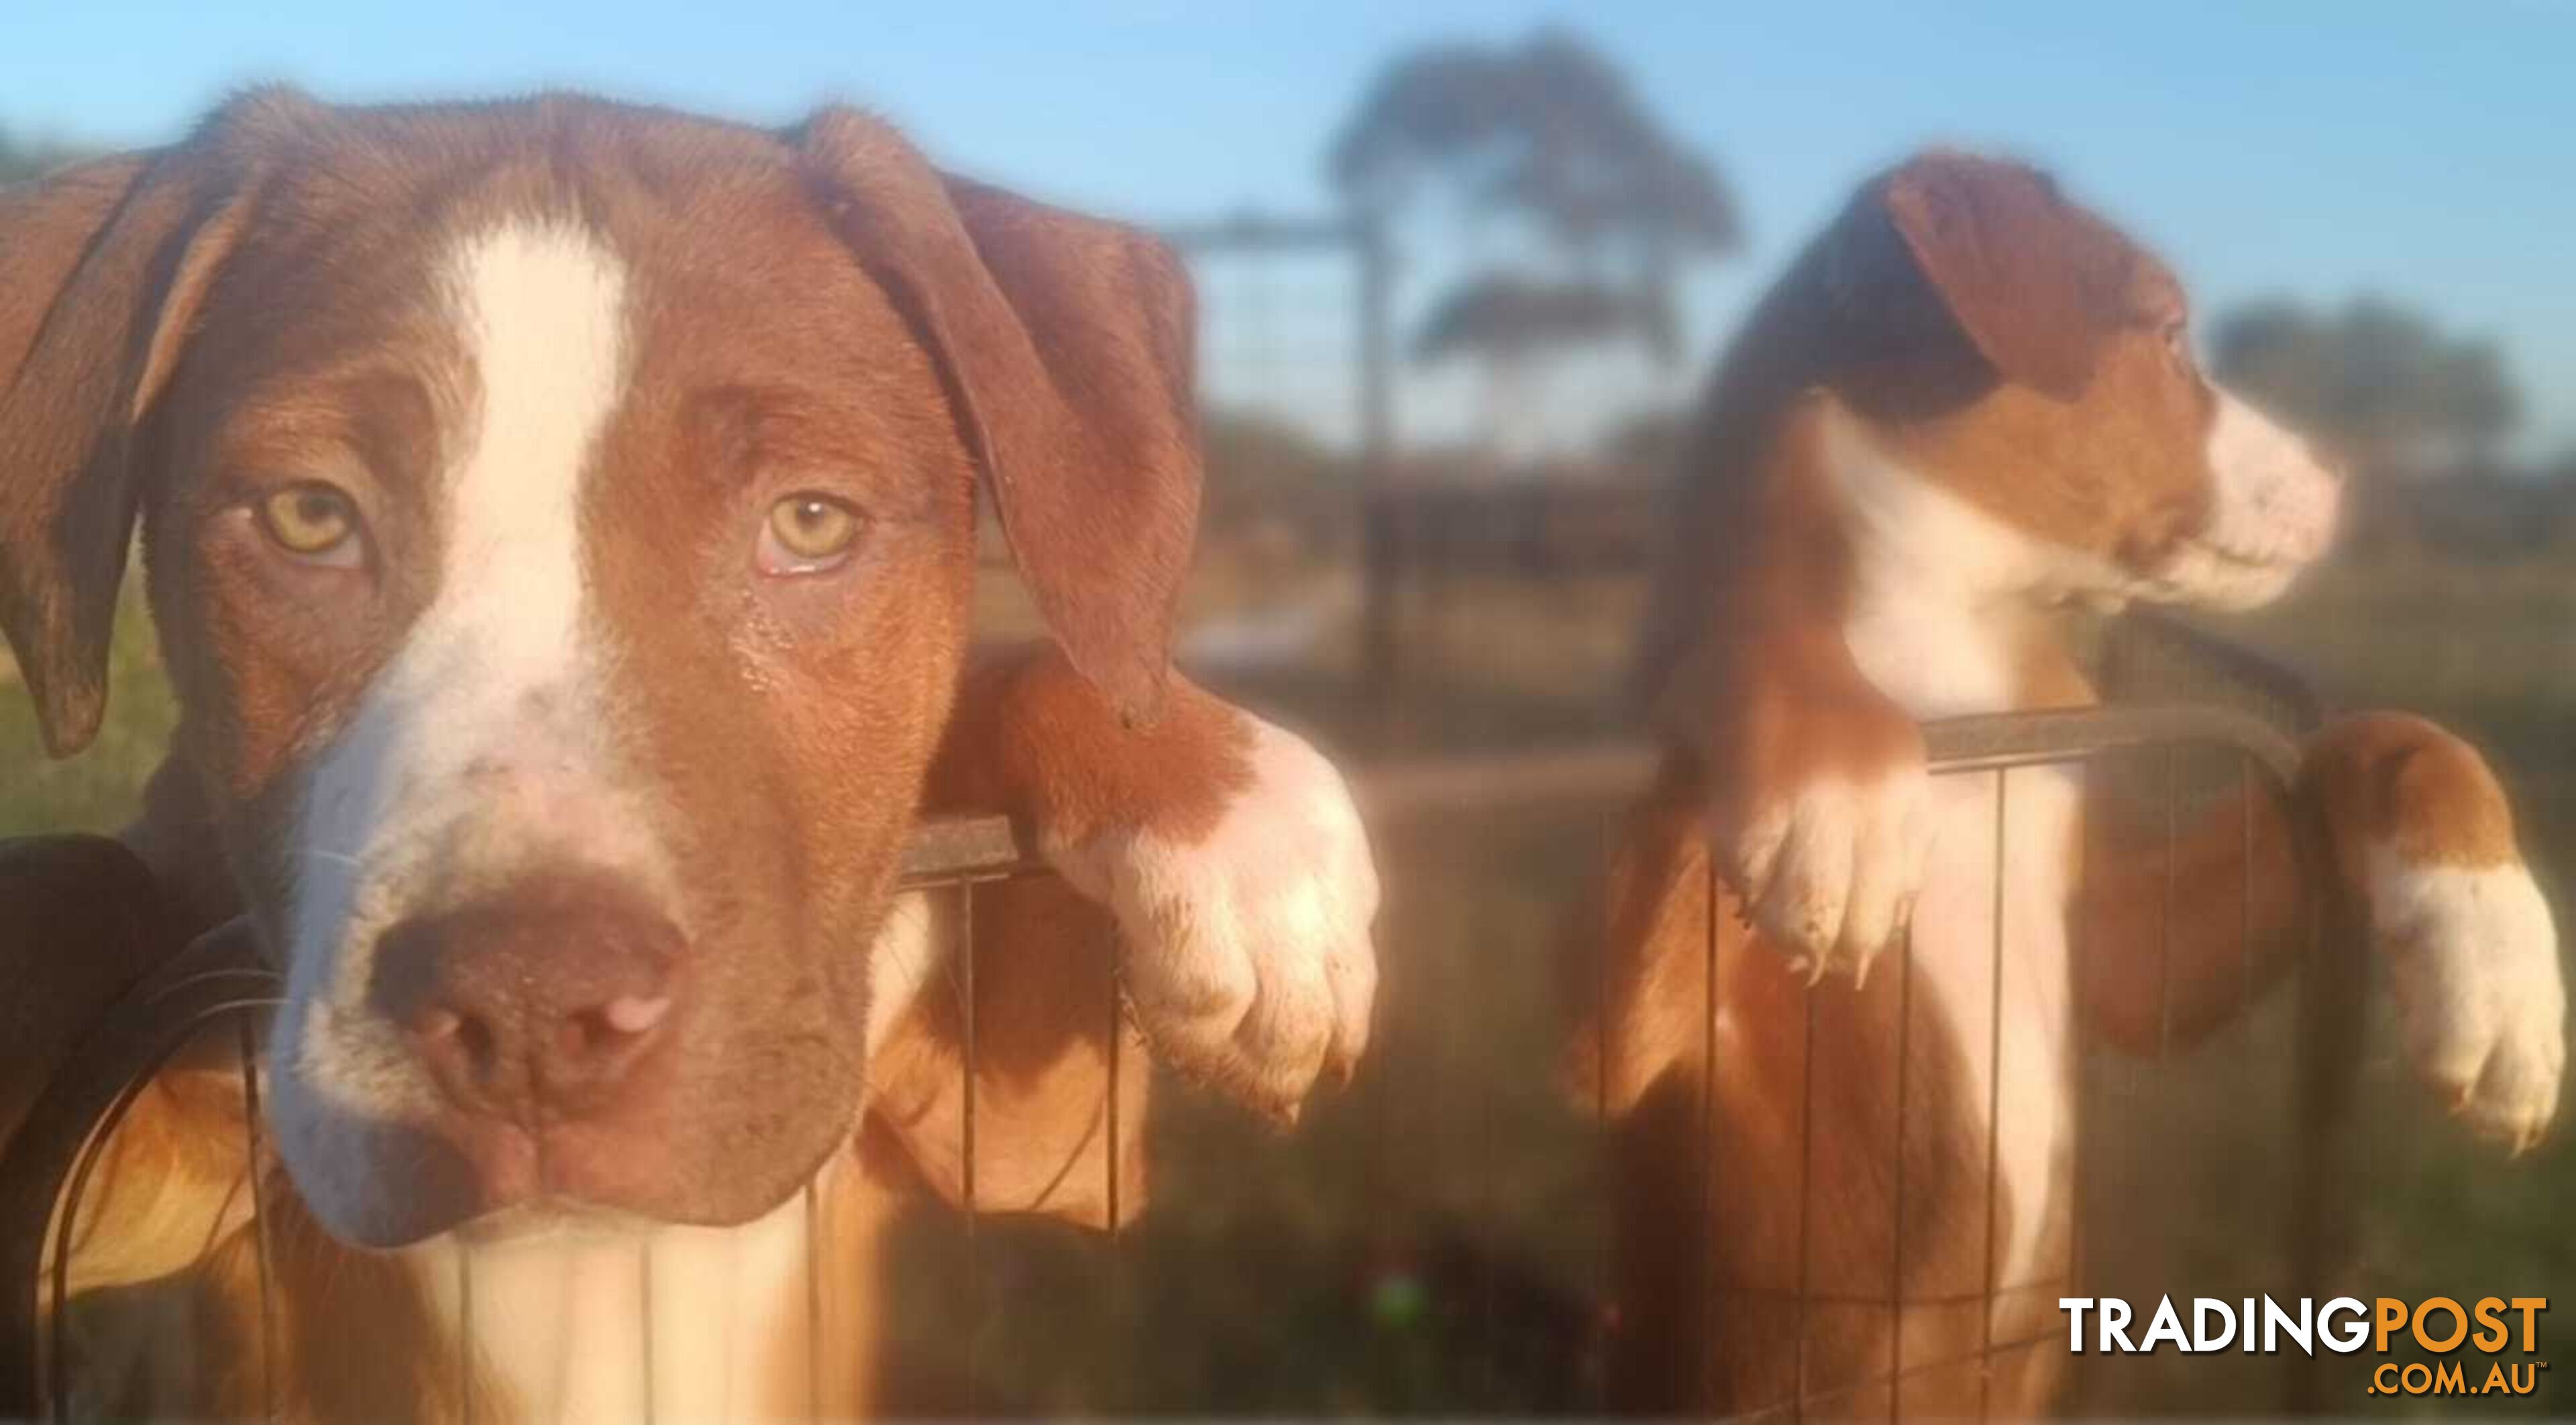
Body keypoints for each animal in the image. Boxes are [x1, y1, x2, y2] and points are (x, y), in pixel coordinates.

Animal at [5, 86, 1391, 1412]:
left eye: (812, 521)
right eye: (307, 515)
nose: (531, 1000)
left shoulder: (1033, 1132)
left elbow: (1027, 664)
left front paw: (1230, 810)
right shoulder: (159, 1177)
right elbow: (86, 874)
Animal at [1576, 152, 2565, 1412]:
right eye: (2172, 334)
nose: (2344, 469)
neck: (1955, 661)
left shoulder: (2126, 959)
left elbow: (2384, 733)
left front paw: (2497, 957)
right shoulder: (1621, 1055)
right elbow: (1747, 630)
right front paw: (1839, 787)